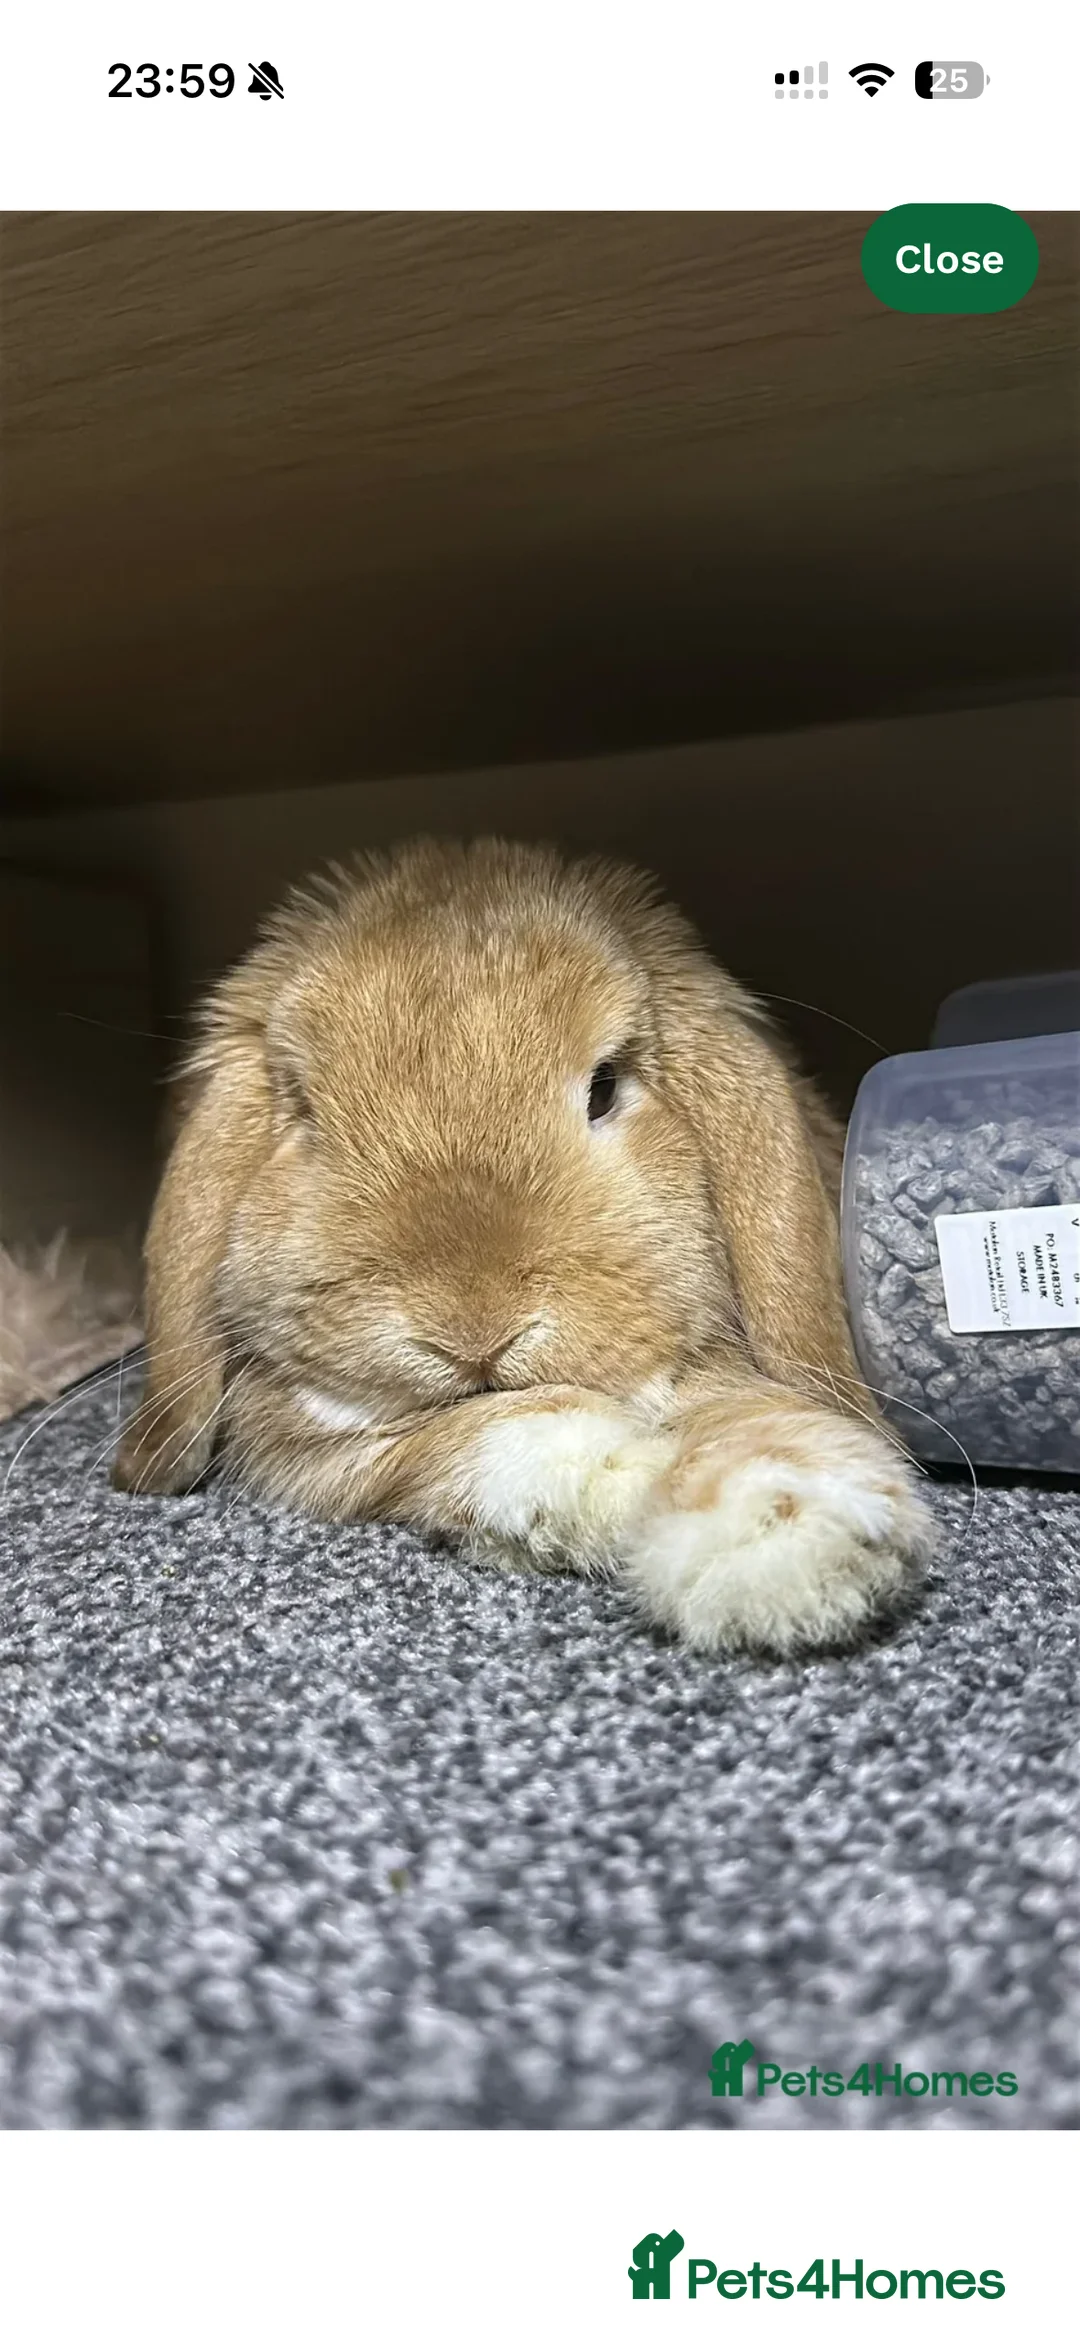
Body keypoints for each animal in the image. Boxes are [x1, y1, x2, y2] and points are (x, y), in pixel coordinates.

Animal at [112, 834, 937, 1652]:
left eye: (605, 1086)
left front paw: (794, 1532)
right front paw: (610, 1481)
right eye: (306, 1110)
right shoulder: (303, 1442)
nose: (472, 1334)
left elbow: (729, 1403)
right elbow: (471, 1432)